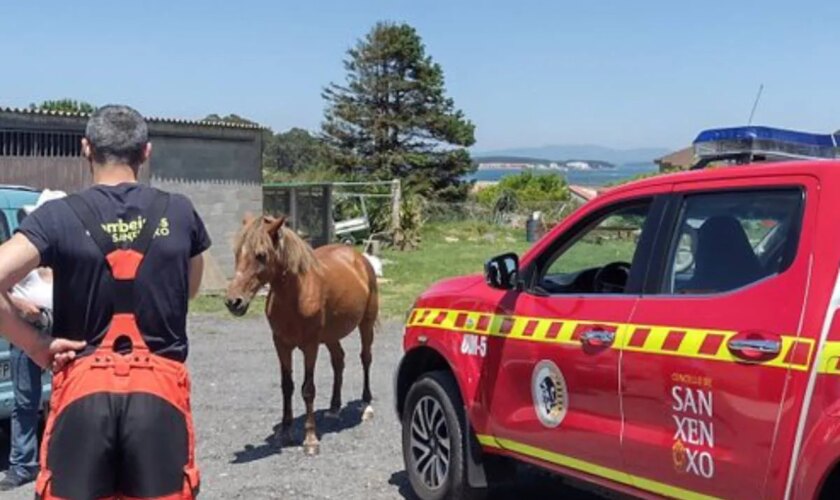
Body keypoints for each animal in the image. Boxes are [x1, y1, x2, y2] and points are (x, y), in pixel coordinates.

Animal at [225, 213, 378, 456]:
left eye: (261, 255)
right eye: (237, 253)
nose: (234, 302)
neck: (296, 295)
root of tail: (358, 257)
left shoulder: (310, 345)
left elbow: (308, 390)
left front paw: (310, 440)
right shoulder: (281, 345)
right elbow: (287, 386)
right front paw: (285, 433)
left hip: (366, 324)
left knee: (366, 359)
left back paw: (366, 406)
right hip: (331, 336)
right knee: (339, 361)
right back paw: (334, 408)